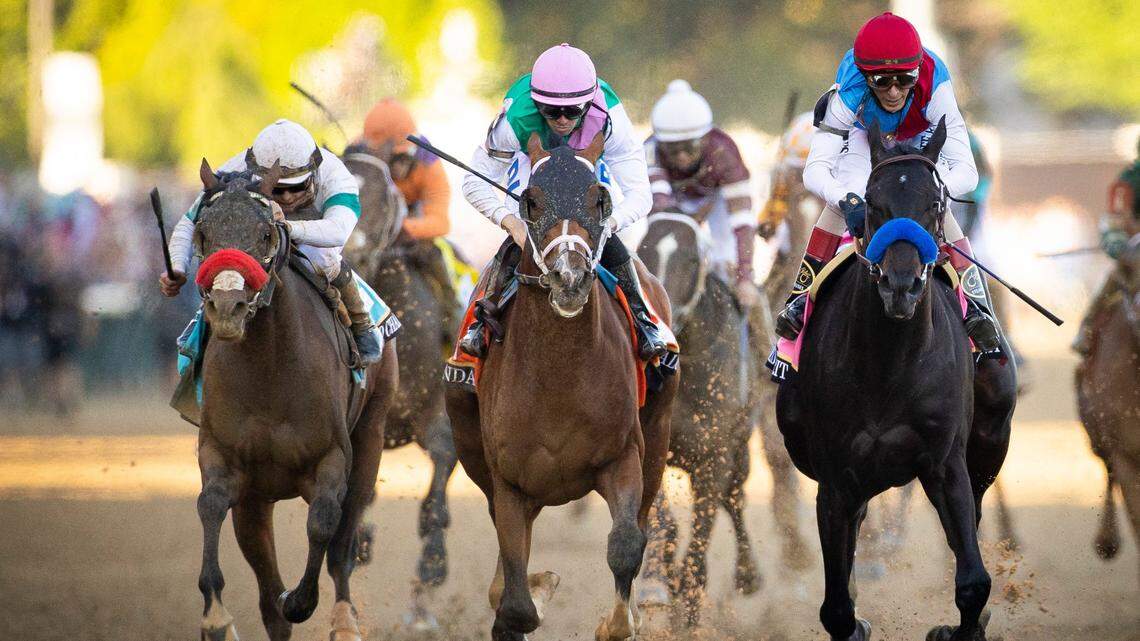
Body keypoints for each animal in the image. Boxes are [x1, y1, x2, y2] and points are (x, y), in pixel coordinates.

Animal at [190, 162, 397, 641]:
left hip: (372, 438)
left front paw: (302, 601)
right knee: (268, 593)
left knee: (343, 542)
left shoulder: (332, 457)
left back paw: (343, 619)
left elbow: (324, 520)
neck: (270, 369)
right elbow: (210, 503)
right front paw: (215, 614)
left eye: (266, 232)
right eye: (203, 233)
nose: (227, 308)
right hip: (256, 500)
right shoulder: (223, 455)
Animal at [445, 132, 678, 641]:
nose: (569, 278)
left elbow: (626, 544)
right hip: (471, 446)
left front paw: (617, 622)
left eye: (599, 198)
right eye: (530, 201)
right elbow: (513, 601)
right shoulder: (509, 482)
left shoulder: (622, 455)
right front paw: (538, 591)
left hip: (658, 436)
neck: (559, 377)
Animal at [635, 210, 807, 624]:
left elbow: (703, 529)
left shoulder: (715, 455)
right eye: (641, 251)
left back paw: (748, 576)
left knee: (736, 497)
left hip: (740, 444)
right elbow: (664, 521)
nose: (658, 322)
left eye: (692, 259)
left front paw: (688, 606)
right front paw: (656, 581)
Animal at [775, 119, 1017, 641]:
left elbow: (974, 583)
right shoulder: (836, 482)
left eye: (935, 205)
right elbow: (837, 608)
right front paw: (857, 620)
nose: (900, 285)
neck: (889, 366)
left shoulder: (946, 465)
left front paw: (957, 628)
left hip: (990, 442)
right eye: (872, 201)